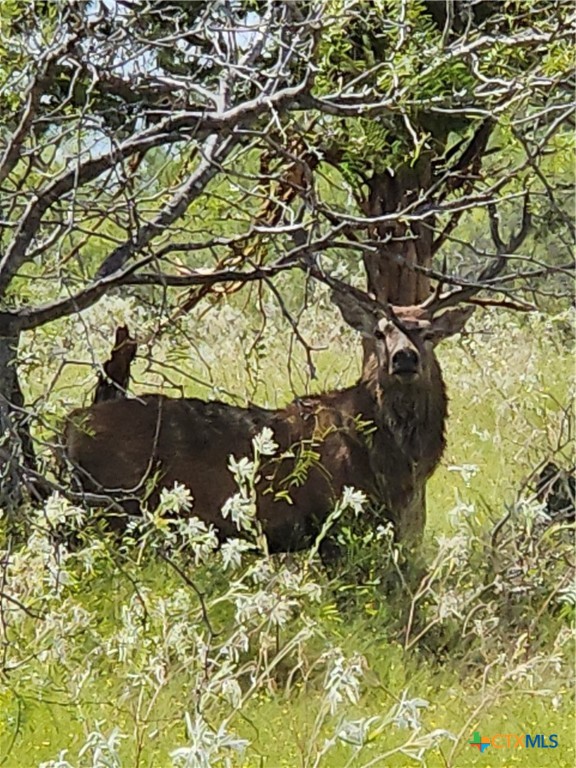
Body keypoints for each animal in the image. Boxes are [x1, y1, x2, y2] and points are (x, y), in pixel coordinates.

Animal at [65, 280, 474, 552]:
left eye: (429, 334)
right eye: (379, 332)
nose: (404, 358)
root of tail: (67, 427)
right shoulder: (333, 518)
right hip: (113, 504)